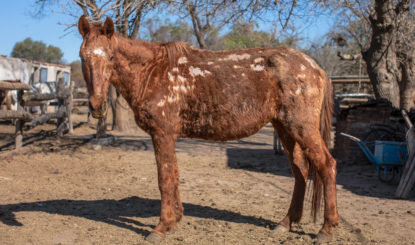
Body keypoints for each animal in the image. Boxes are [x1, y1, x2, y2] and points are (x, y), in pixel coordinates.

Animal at [79, 15, 342, 243]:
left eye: (110, 57)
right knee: (300, 171)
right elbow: (174, 176)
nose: (96, 105)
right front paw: (175, 220)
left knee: (326, 166)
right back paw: (286, 223)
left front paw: (161, 227)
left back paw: (326, 229)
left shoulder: (162, 134)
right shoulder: (169, 136)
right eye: (82, 57)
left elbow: (165, 178)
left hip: (302, 128)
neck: (152, 71)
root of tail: (316, 68)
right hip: (285, 129)